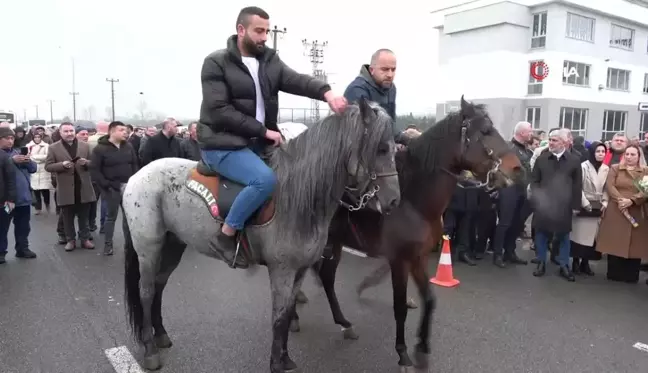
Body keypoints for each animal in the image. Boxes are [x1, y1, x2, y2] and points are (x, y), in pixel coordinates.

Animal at [120, 99, 400, 372]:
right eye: (381, 149)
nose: (394, 201)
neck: (297, 196)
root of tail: (136, 177)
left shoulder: (299, 270)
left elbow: (287, 312)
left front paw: (285, 358)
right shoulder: (281, 270)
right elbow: (278, 316)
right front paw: (276, 363)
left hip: (173, 244)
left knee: (159, 285)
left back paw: (161, 335)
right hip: (148, 248)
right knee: (146, 291)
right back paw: (150, 351)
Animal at [288, 96, 520, 372]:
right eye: (485, 131)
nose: (517, 168)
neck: (413, 200)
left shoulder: (418, 258)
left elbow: (429, 300)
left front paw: (422, 349)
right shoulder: (399, 261)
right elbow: (399, 307)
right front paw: (403, 354)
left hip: (332, 244)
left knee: (325, 277)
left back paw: (344, 323)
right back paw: (295, 318)